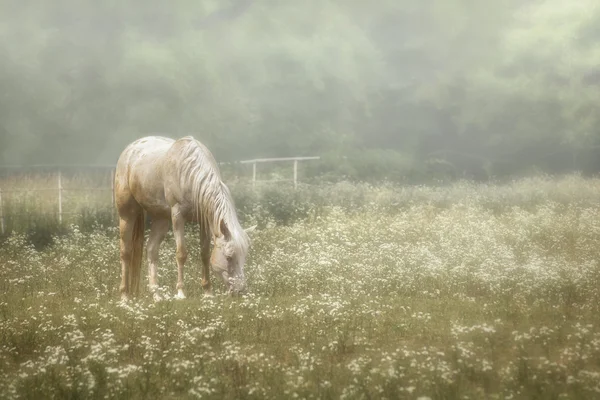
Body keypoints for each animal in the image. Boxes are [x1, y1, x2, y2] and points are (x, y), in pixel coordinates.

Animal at [113, 134, 254, 300]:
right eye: (229, 257)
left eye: (244, 256)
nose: (240, 291)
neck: (191, 175)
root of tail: (129, 149)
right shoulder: (177, 216)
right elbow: (181, 253)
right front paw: (180, 293)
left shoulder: (205, 222)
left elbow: (205, 254)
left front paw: (208, 292)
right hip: (127, 214)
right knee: (126, 252)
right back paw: (124, 296)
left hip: (161, 219)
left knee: (152, 250)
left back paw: (157, 295)